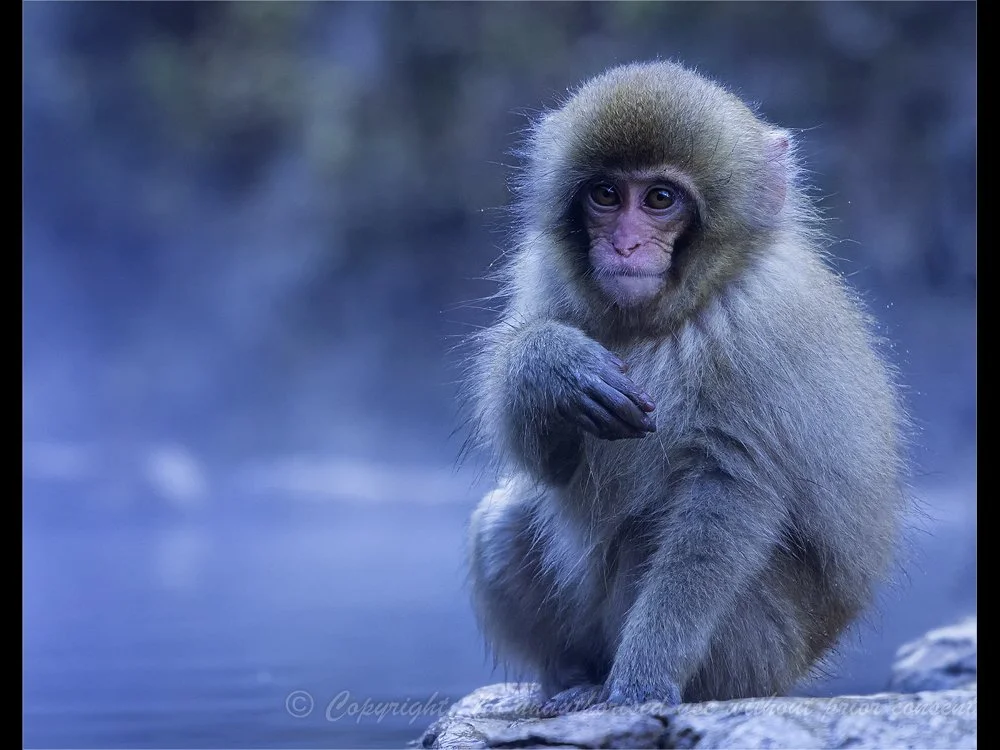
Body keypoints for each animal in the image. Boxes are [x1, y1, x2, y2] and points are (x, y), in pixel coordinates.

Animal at [463, 61, 907, 712]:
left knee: (650, 535)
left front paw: (644, 676)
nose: (624, 245)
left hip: (756, 657)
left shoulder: (761, 329)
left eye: (660, 199)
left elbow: (728, 493)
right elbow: (550, 467)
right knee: (507, 516)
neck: (674, 312)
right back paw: (570, 677)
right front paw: (548, 364)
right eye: (605, 194)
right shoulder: (547, 277)